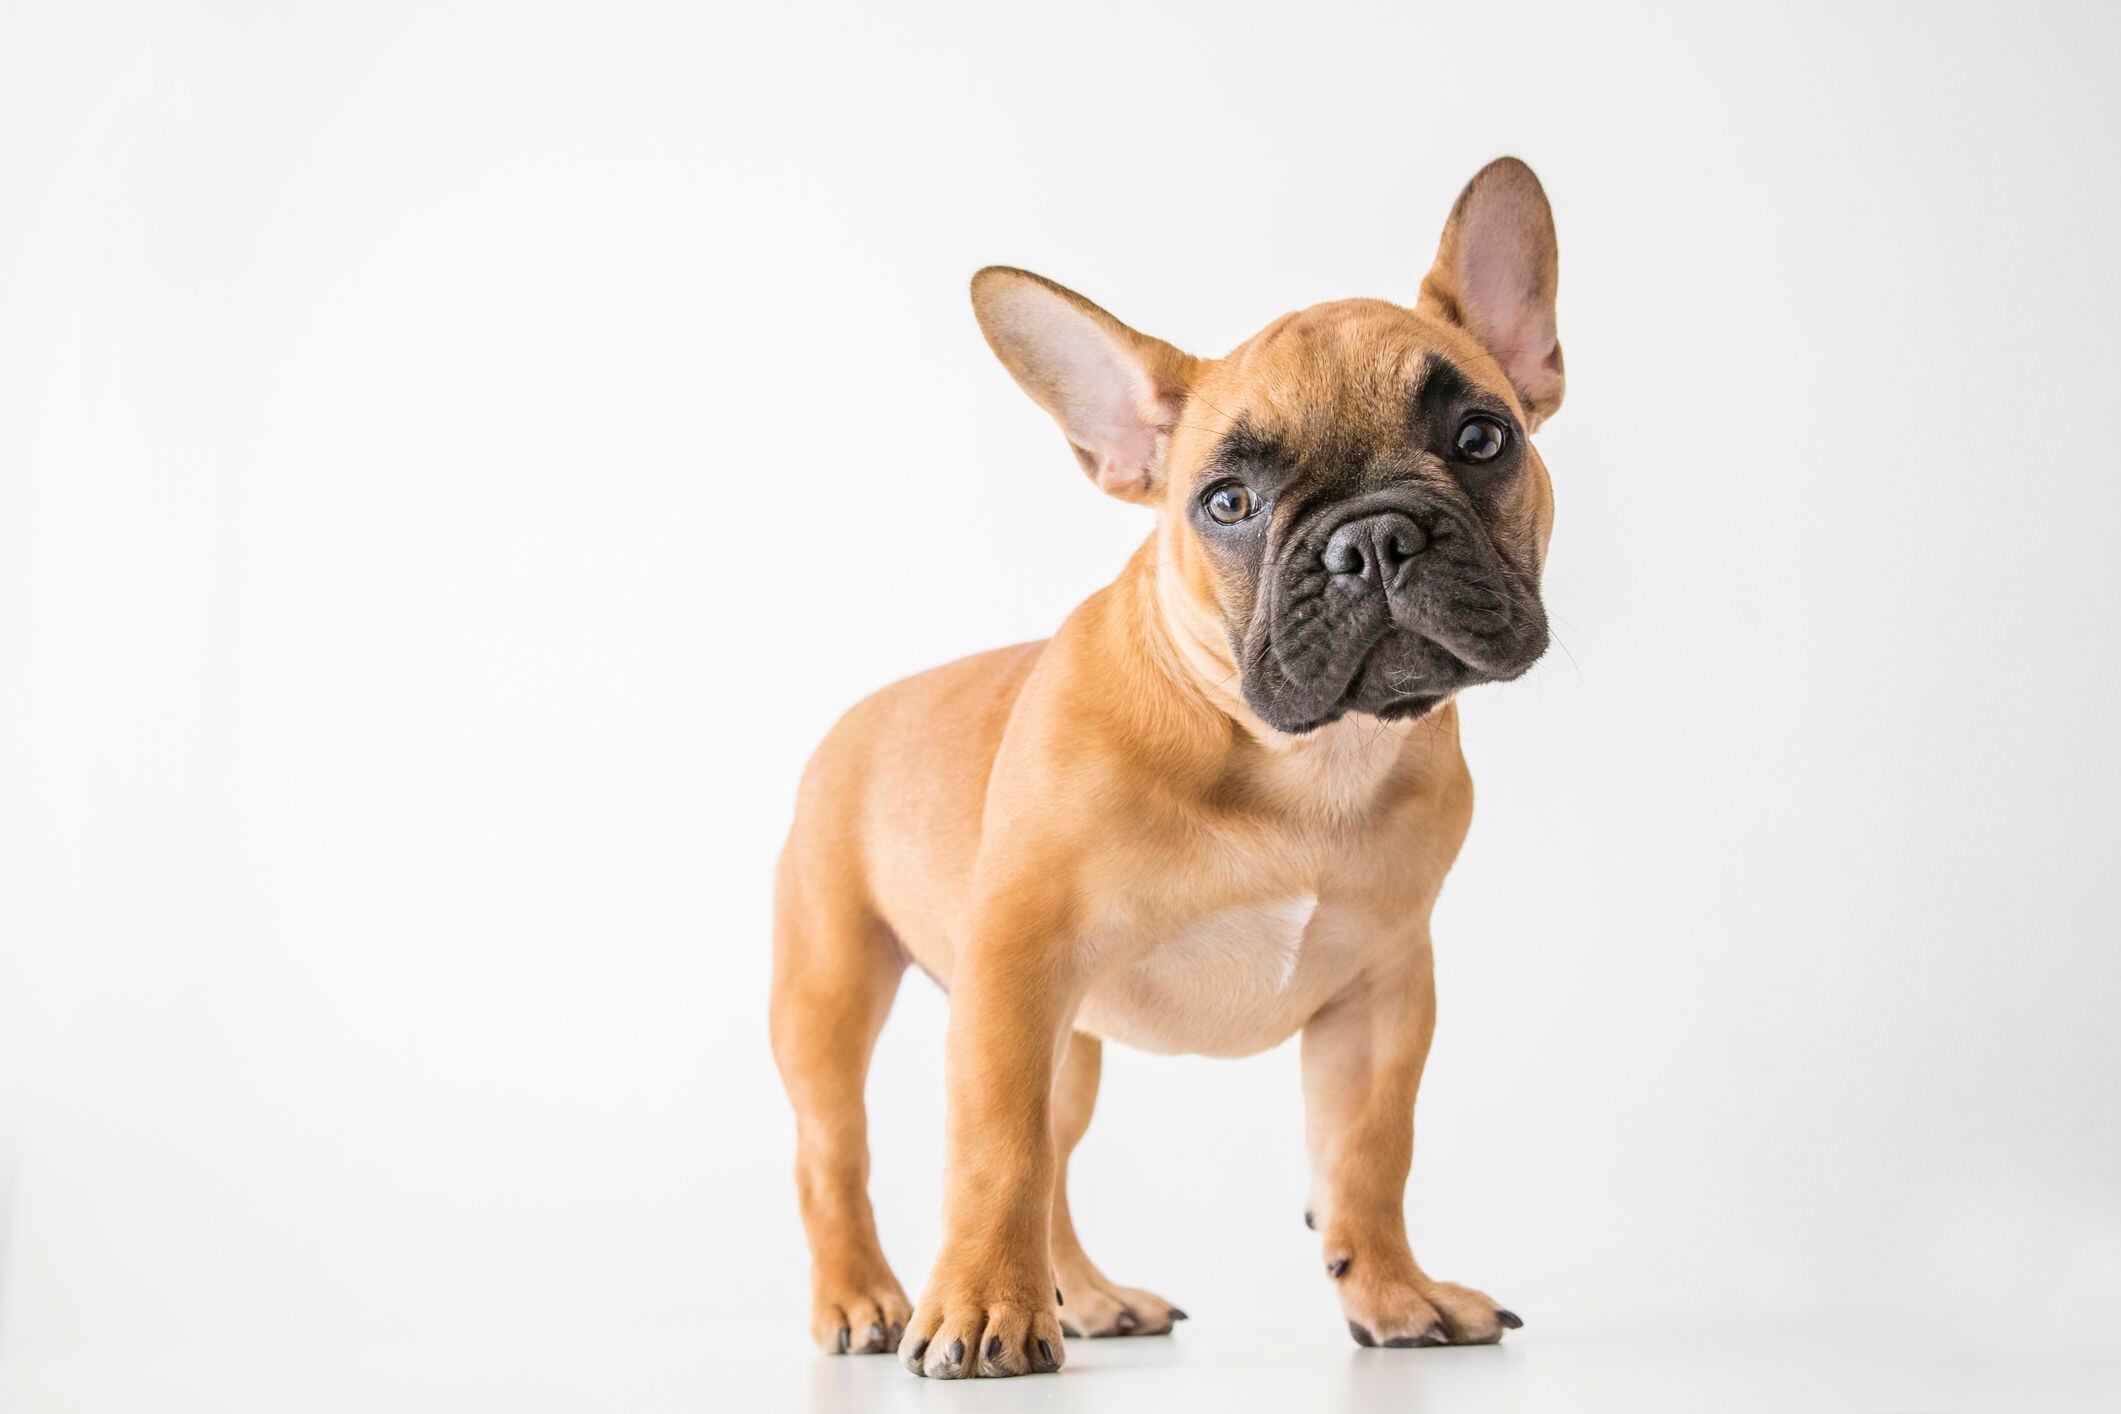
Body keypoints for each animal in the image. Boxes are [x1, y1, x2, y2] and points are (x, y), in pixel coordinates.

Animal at [772, 157, 1569, 1382]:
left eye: (1484, 439)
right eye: (1226, 503)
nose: (1373, 537)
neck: (1302, 754)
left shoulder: (1384, 992)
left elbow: (1369, 1151)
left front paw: (1394, 1292)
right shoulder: (1015, 971)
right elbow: (992, 1148)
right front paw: (981, 1310)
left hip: (1074, 1048)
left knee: (1056, 1161)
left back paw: (1088, 1298)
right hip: (833, 990)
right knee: (839, 1151)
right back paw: (866, 1298)